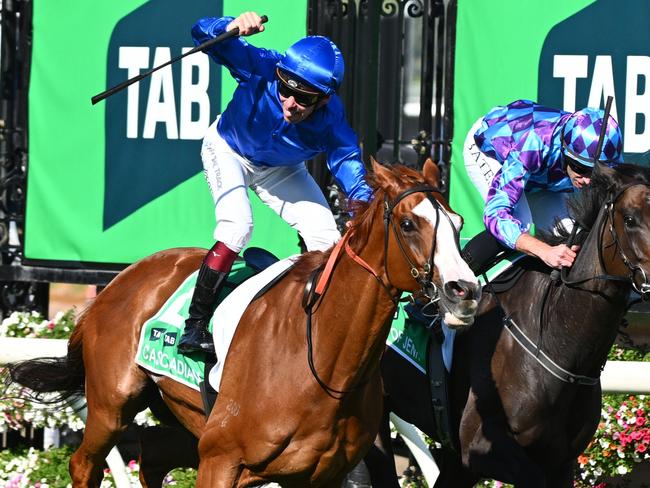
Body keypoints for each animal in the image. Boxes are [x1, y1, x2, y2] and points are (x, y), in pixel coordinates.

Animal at [2, 160, 478, 488]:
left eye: (457, 223)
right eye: (409, 223)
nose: (465, 290)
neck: (322, 365)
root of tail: (124, 278)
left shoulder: (318, 475)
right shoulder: (221, 459)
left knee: (152, 454)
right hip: (112, 404)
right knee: (86, 463)